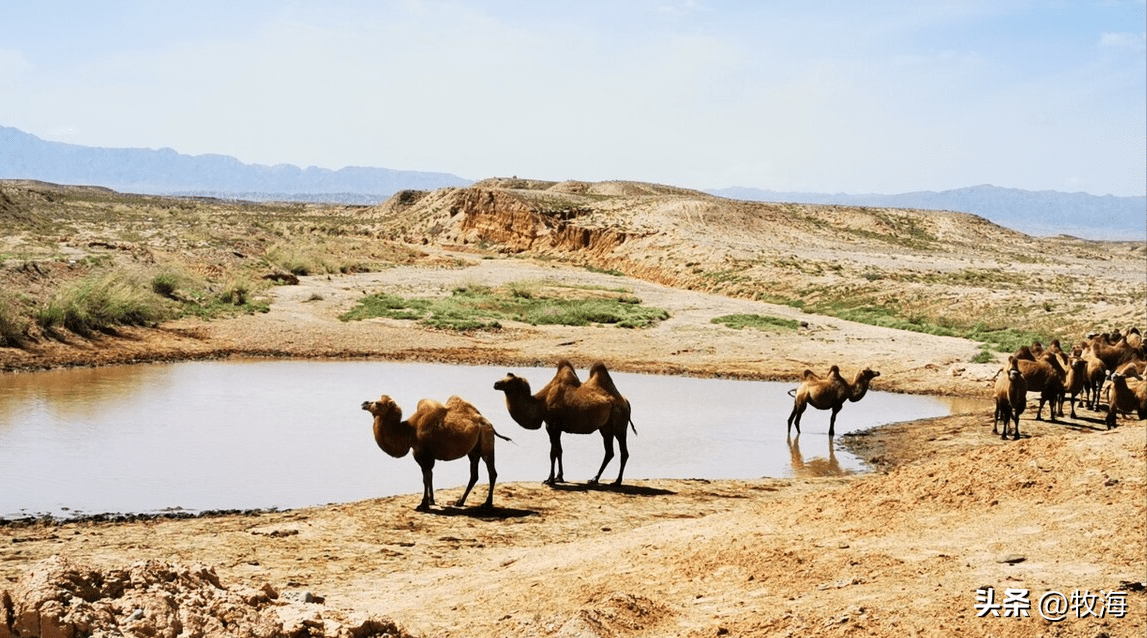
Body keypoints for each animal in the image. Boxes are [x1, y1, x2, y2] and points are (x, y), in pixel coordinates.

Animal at [362, 390, 511, 511]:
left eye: (378, 403)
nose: (364, 403)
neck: (408, 431)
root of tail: (489, 424)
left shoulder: (423, 453)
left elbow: (426, 478)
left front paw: (423, 505)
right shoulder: (423, 455)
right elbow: (429, 475)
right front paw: (431, 501)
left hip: (487, 446)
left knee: (492, 472)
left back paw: (487, 504)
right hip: (473, 451)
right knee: (474, 475)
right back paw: (460, 502)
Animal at [493, 360, 637, 486]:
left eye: (509, 381)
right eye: (505, 377)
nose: (495, 384)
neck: (541, 404)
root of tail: (625, 401)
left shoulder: (553, 425)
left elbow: (553, 453)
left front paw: (550, 480)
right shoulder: (553, 426)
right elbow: (559, 451)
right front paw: (558, 477)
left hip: (620, 425)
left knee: (623, 452)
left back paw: (617, 482)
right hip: (606, 428)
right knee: (609, 452)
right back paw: (594, 479)